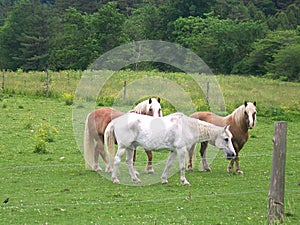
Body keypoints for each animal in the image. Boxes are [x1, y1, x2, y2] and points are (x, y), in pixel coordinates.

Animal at [104, 111, 236, 185]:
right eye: (226, 139)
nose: (233, 154)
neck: (186, 126)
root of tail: (116, 120)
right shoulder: (181, 150)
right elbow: (182, 166)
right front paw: (184, 181)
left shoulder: (173, 150)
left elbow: (169, 164)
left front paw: (164, 179)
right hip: (123, 147)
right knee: (117, 160)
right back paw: (115, 179)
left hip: (130, 147)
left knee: (129, 162)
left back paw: (136, 180)